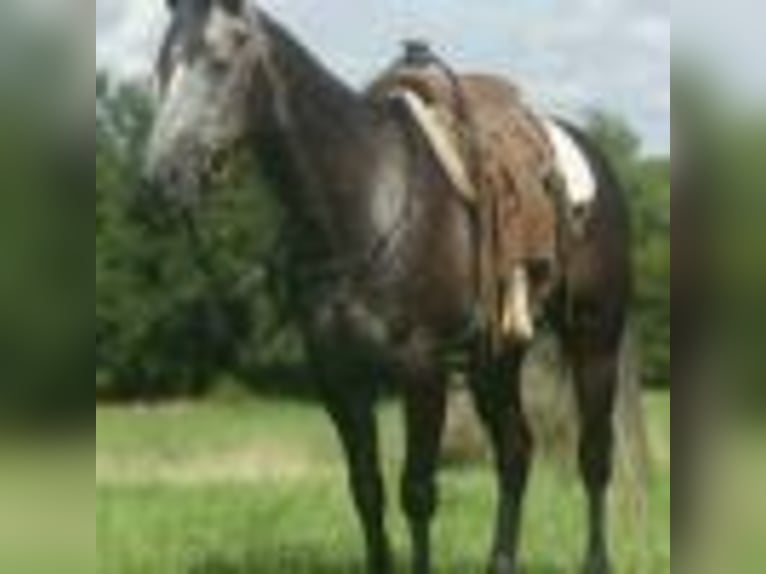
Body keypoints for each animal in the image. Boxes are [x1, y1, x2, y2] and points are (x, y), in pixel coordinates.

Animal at [142, 1, 632, 573]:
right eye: (162, 65)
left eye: (219, 63)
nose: (161, 178)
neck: (365, 198)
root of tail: (591, 154)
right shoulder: (339, 377)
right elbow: (366, 489)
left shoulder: (422, 369)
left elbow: (416, 491)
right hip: (496, 357)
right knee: (516, 450)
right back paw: (501, 561)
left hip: (595, 338)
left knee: (594, 454)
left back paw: (596, 560)